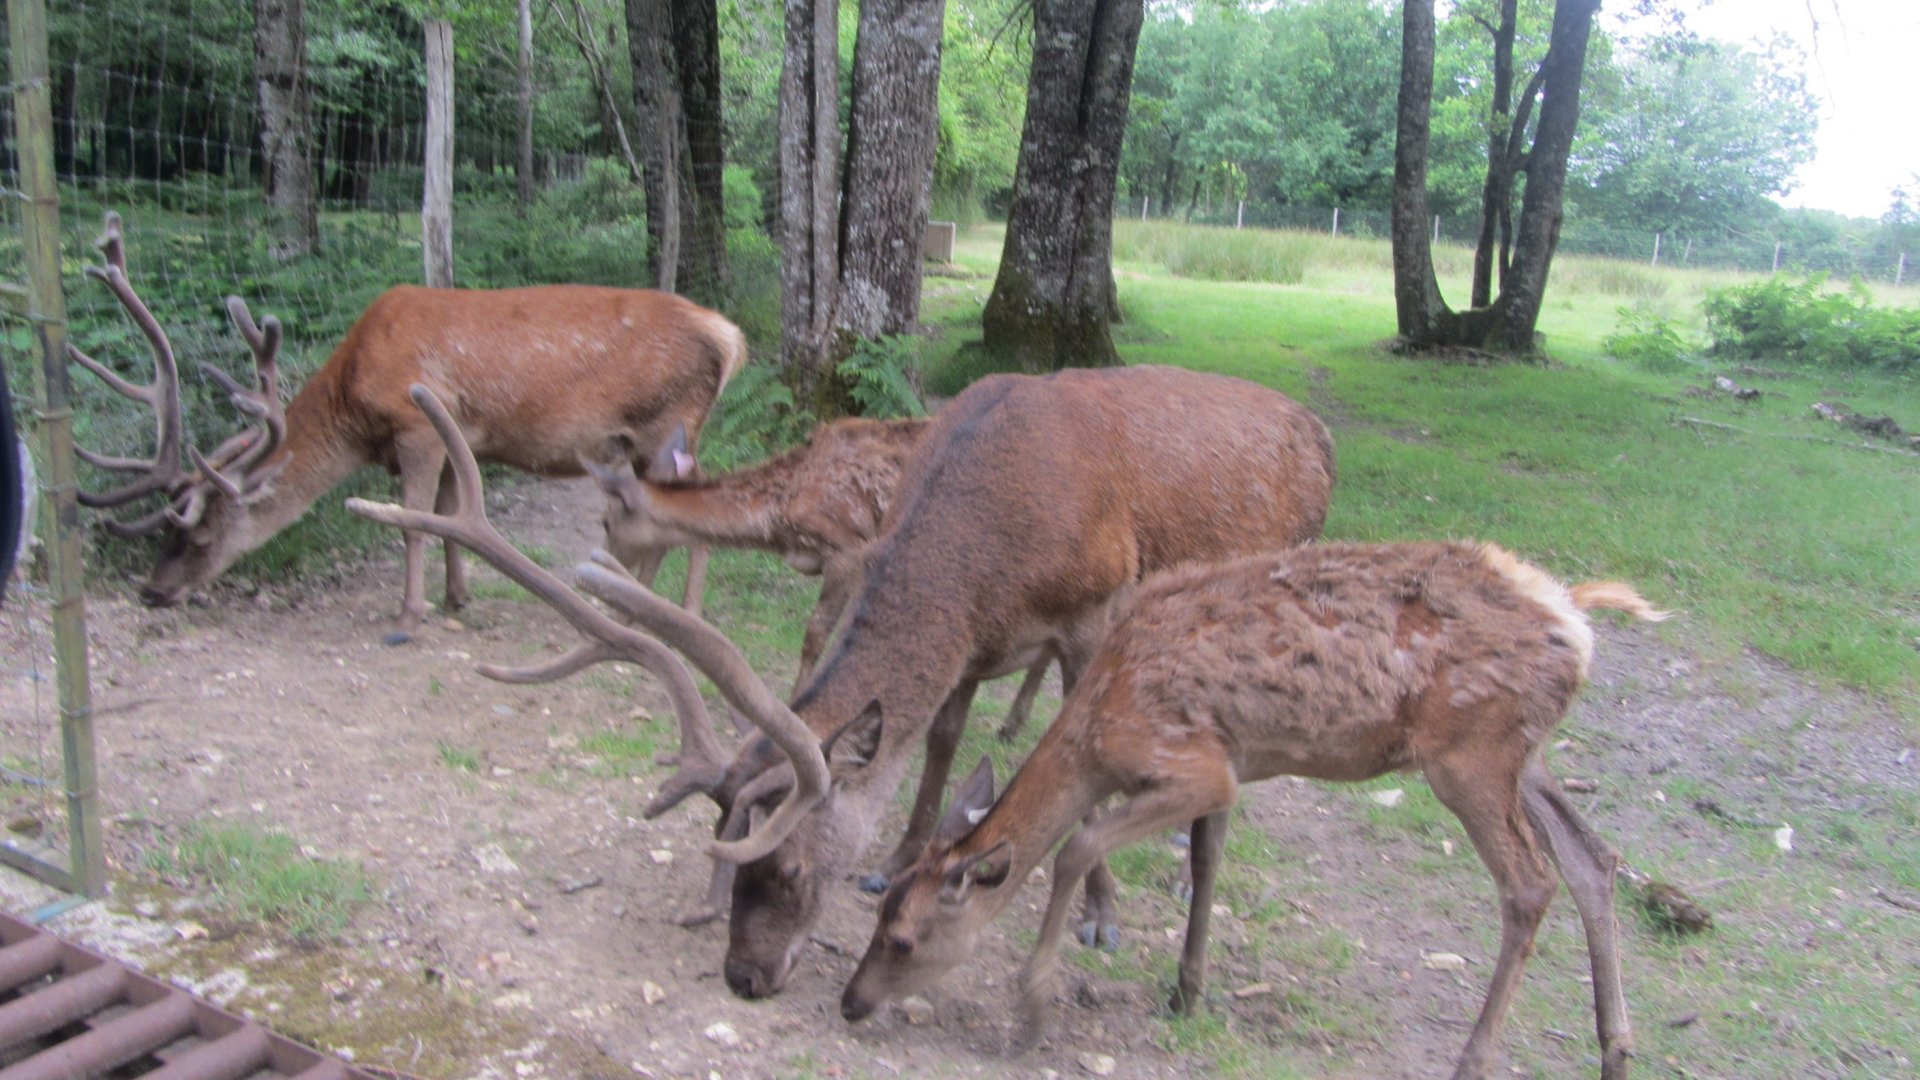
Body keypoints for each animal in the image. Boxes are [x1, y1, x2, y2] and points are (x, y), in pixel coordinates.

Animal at [67, 211, 745, 641]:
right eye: (166, 528)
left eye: (199, 531)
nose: (151, 591)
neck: (353, 409)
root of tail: (728, 337)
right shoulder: (454, 438)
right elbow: (448, 516)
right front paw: (456, 597)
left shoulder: (415, 424)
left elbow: (412, 523)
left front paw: (408, 615)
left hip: (667, 423)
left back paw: (675, 614)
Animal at [841, 542, 1665, 1080]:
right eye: (874, 917)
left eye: (904, 940)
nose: (850, 1002)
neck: (1097, 733)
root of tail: (1578, 623)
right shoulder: (1232, 762)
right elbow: (1207, 860)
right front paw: (1186, 990)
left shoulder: (1193, 764)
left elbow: (1080, 844)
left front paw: (1032, 1012)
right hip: (1524, 756)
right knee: (1595, 858)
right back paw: (1615, 1051)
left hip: (1471, 752)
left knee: (1531, 882)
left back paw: (1474, 1059)